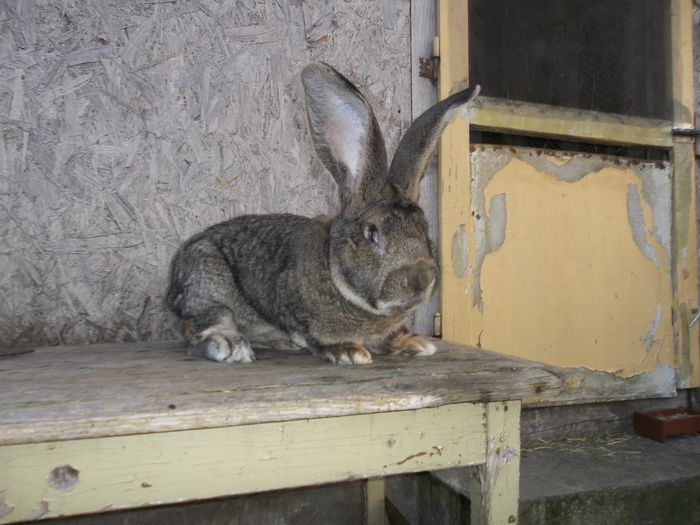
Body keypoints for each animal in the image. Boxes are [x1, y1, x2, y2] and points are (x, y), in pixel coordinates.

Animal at [167, 62, 478, 364]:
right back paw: (229, 345)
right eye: (372, 233)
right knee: (198, 328)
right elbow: (321, 336)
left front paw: (413, 344)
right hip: (208, 285)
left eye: (425, 229)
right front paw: (349, 352)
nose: (420, 278)